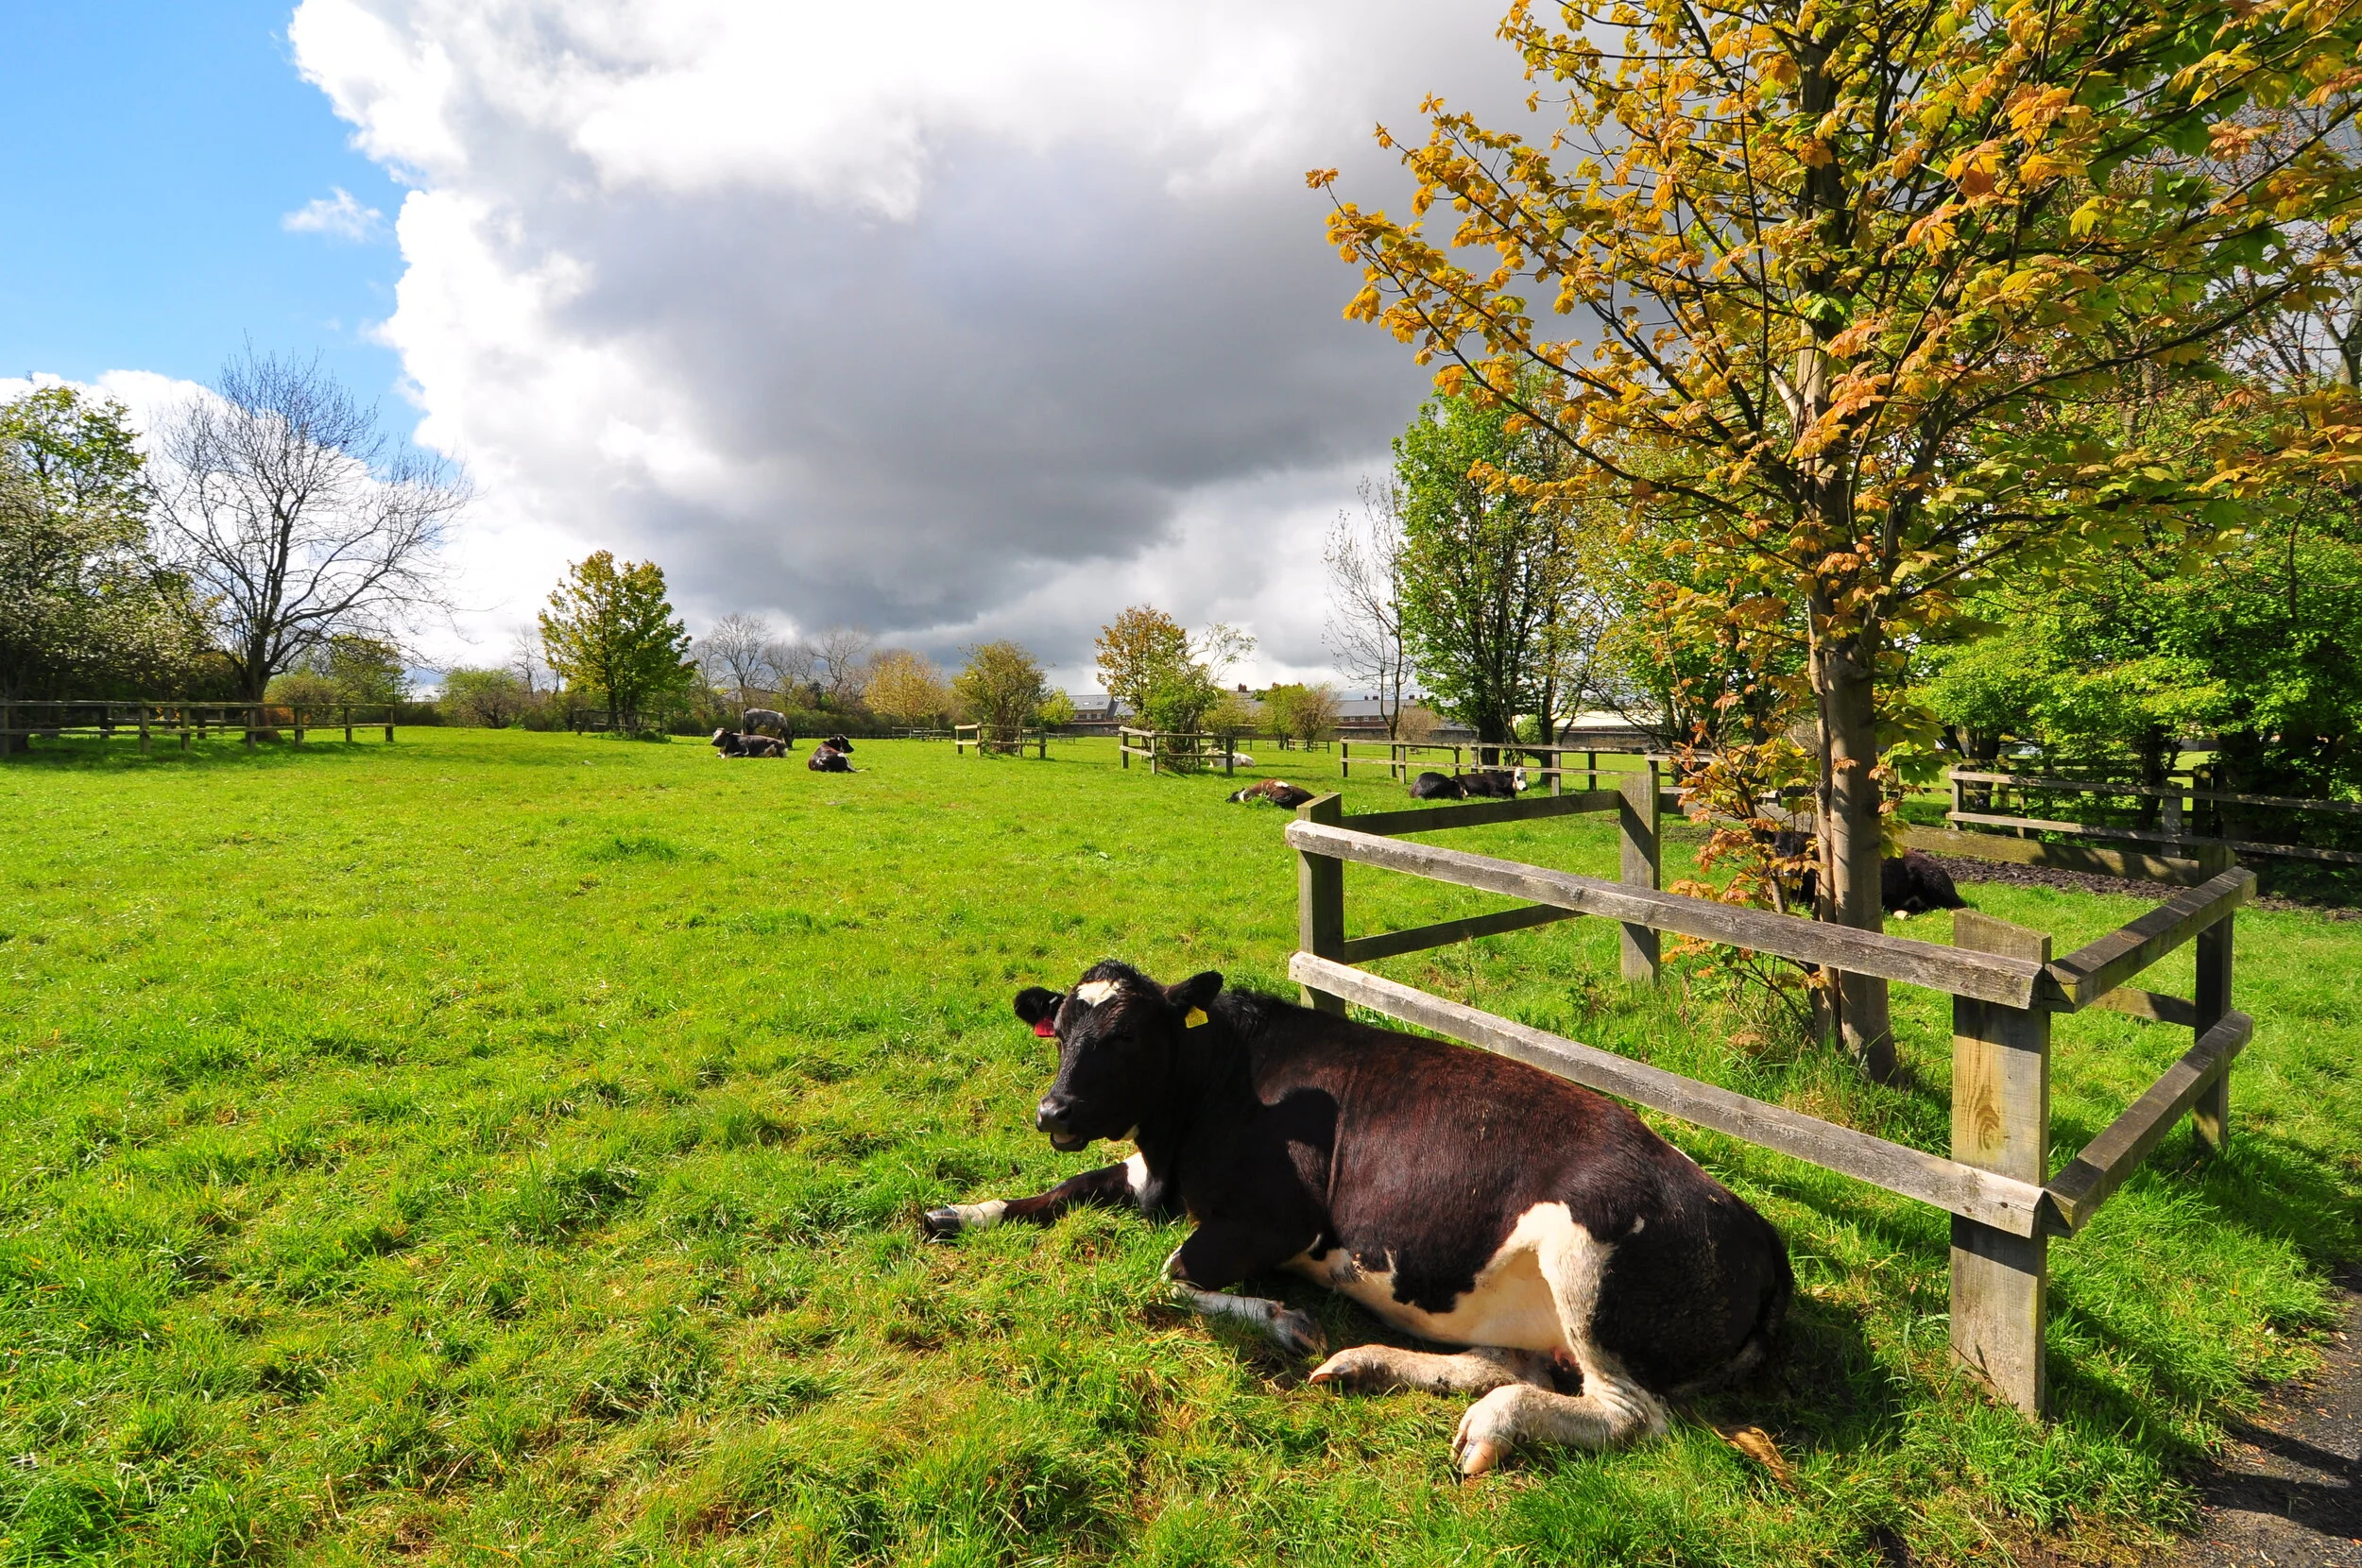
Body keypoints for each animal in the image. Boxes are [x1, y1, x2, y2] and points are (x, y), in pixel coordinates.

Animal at [923, 961, 1791, 1476]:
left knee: (1631, 1416)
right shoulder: (1150, 1178)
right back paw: (1368, 1365)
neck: (1196, 1105)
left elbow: (1170, 1274)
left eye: (1128, 1034)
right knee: (1512, 1364)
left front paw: (1282, 1319)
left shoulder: (1280, 1220)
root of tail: (1760, 1232)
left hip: (1589, 1266)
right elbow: (1062, 1188)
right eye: (1061, 1031)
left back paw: (1491, 1424)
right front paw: (956, 1213)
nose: (1052, 1112)